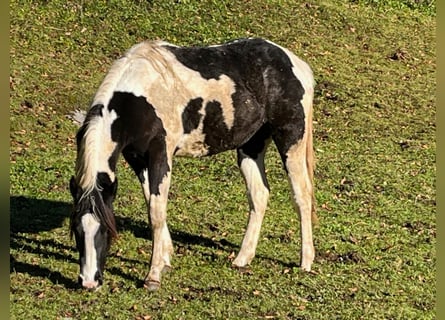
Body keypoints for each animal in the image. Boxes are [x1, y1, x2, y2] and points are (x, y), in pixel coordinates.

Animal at [68, 37, 316, 290]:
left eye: (105, 230)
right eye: (77, 230)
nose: (88, 282)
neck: (139, 97)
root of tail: (293, 62)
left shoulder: (160, 155)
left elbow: (156, 212)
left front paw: (153, 275)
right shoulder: (137, 159)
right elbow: (152, 204)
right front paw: (166, 257)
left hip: (291, 141)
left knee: (302, 196)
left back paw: (306, 261)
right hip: (251, 146)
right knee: (259, 195)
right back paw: (242, 258)